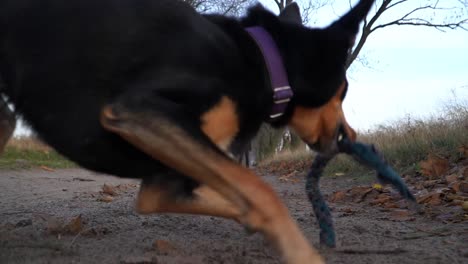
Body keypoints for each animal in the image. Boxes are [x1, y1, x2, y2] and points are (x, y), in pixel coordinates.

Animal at [0, 1, 372, 262]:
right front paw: (302, 253)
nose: (351, 136)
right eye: (344, 91)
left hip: (5, 116)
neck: (264, 62)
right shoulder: (142, 111)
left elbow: (237, 193)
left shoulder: (164, 181)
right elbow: (262, 191)